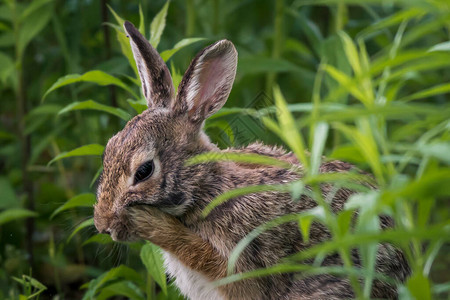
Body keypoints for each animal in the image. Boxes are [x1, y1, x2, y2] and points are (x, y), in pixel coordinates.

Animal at [95, 21, 412, 300]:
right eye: (108, 148)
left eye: (144, 171)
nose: (103, 224)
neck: (205, 190)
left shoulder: (242, 261)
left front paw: (151, 224)